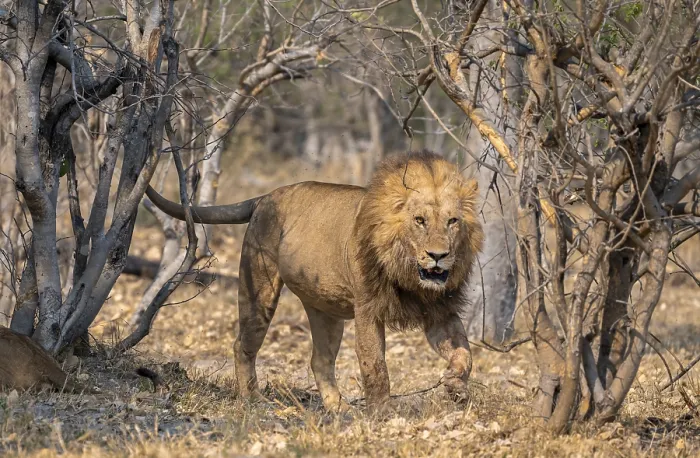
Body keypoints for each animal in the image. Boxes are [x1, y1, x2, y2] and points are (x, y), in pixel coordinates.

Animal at [146, 151, 484, 410]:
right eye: (419, 220)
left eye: (453, 221)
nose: (438, 255)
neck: (409, 274)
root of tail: (266, 196)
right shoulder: (368, 309)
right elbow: (375, 365)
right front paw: (383, 414)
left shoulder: (440, 311)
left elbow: (464, 353)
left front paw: (456, 386)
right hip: (259, 288)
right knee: (243, 344)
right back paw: (252, 399)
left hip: (326, 311)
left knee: (319, 360)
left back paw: (338, 408)